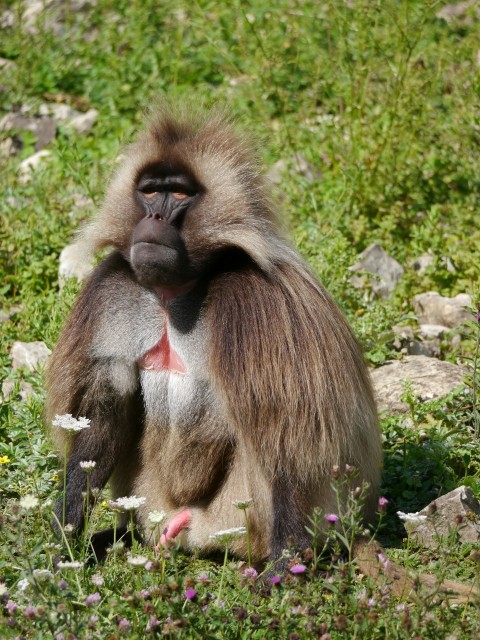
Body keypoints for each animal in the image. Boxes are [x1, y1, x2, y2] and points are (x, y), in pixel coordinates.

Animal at [46, 104, 383, 567]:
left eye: (179, 195)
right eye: (149, 191)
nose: (152, 218)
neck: (174, 292)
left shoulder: (258, 302)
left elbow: (288, 428)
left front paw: (285, 565)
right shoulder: (114, 289)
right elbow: (103, 415)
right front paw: (66, 535)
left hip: (239, 517)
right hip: (149, 500)